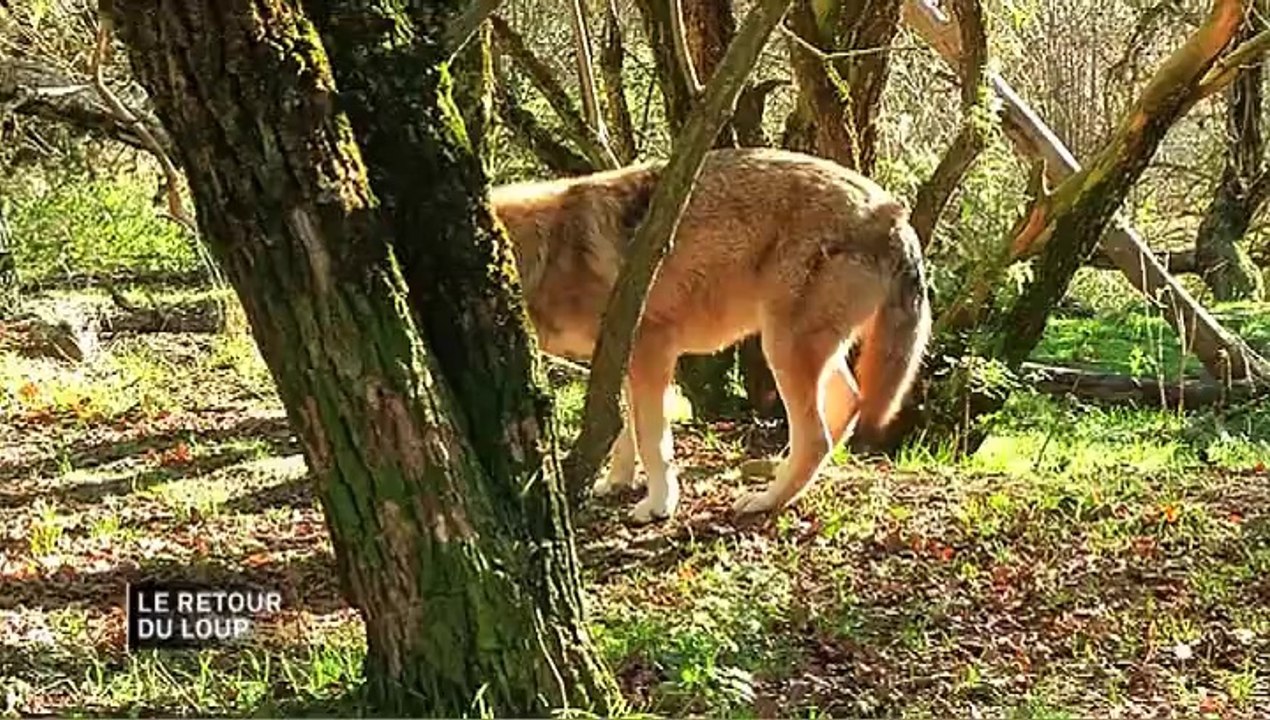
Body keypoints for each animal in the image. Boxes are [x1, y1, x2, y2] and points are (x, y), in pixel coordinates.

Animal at [491, 148, 931, 523]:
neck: (549, 252)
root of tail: (893, 214)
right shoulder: (621, 361)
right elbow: (625, 431)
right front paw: (618, 482)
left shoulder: (650, 352)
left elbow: (652, 440)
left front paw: (658, 505)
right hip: (804, 350)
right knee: (847, 404)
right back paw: (782, 471)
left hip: (781, 349)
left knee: (817, 437)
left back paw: (766, 500)